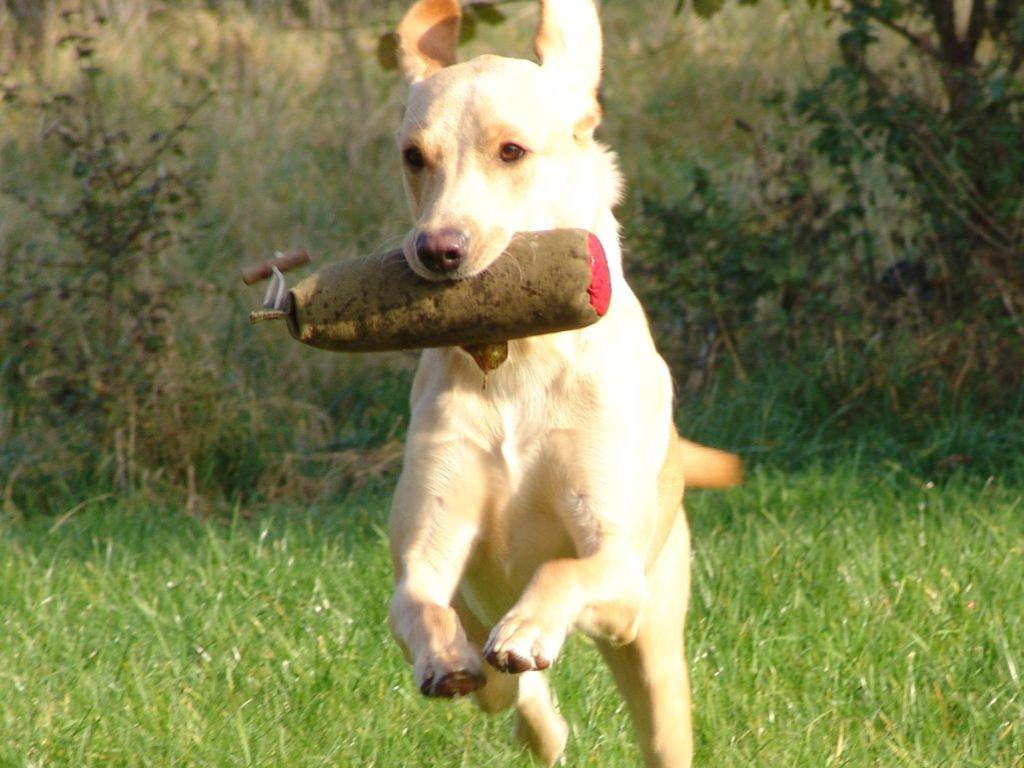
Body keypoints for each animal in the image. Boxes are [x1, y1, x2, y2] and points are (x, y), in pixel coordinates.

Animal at [386, 1, 741, 765]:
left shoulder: (616, 566)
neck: (515, 357)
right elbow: (419, 600)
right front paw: (446, 657)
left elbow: (562, 571)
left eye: (511, 152)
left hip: (654, 649)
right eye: (413, 157)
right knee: (506, 690)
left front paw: (528, 631)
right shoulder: (428, 542)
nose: (437, 249)